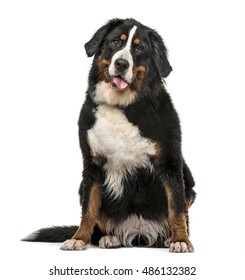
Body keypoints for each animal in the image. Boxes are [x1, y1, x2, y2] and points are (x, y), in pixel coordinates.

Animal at [23, 18, 196, 253]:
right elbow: (89, 210)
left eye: (139, 48)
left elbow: (176, 207)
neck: (120, 105)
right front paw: (79, 238)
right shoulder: (93, 165)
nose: (121, 64)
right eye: (115, 42)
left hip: (189, 182)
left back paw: (168, 238)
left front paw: (180, 240)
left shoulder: (170, 163)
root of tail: (138, 233)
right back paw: (109, 238)